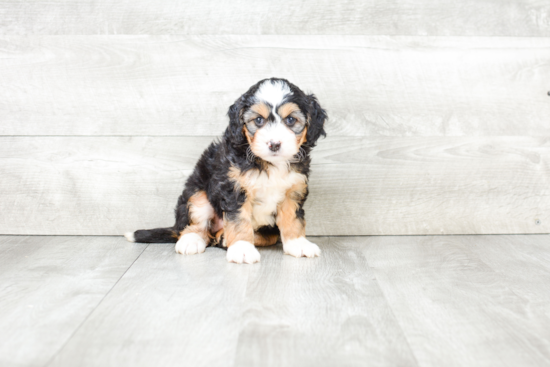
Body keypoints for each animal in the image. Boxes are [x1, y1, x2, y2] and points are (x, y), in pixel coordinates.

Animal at [126, 78, 328, 264]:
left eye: (291, 120)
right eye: (259, 120)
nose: (274, 144)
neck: (269, 164)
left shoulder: (293, 191)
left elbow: (293, 219)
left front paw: (298, 243)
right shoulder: (234, 188)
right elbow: (239, 221)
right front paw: (242, 248)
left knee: (267, 236)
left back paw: (222, 238)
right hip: (198, 190)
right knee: (194, 224)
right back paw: (192, 240)